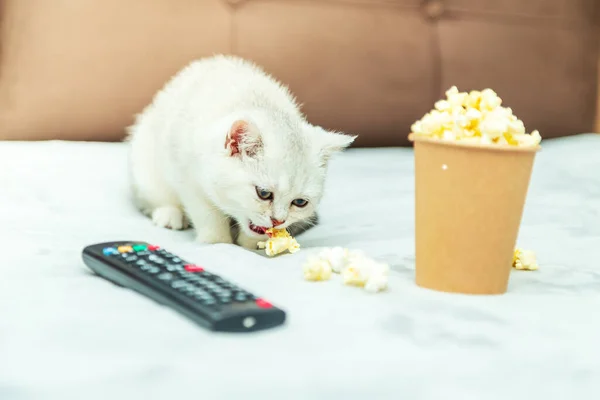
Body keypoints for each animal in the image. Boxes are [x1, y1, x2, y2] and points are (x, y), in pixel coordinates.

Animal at [124, 55, 354, 250]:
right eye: (263, 193)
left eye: (300, 202)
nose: (278, 220)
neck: (259, 105)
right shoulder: (186, 173)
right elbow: (207, 213)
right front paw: (217, 243)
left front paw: (252, 246)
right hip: (144, 161)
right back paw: (169, 214)